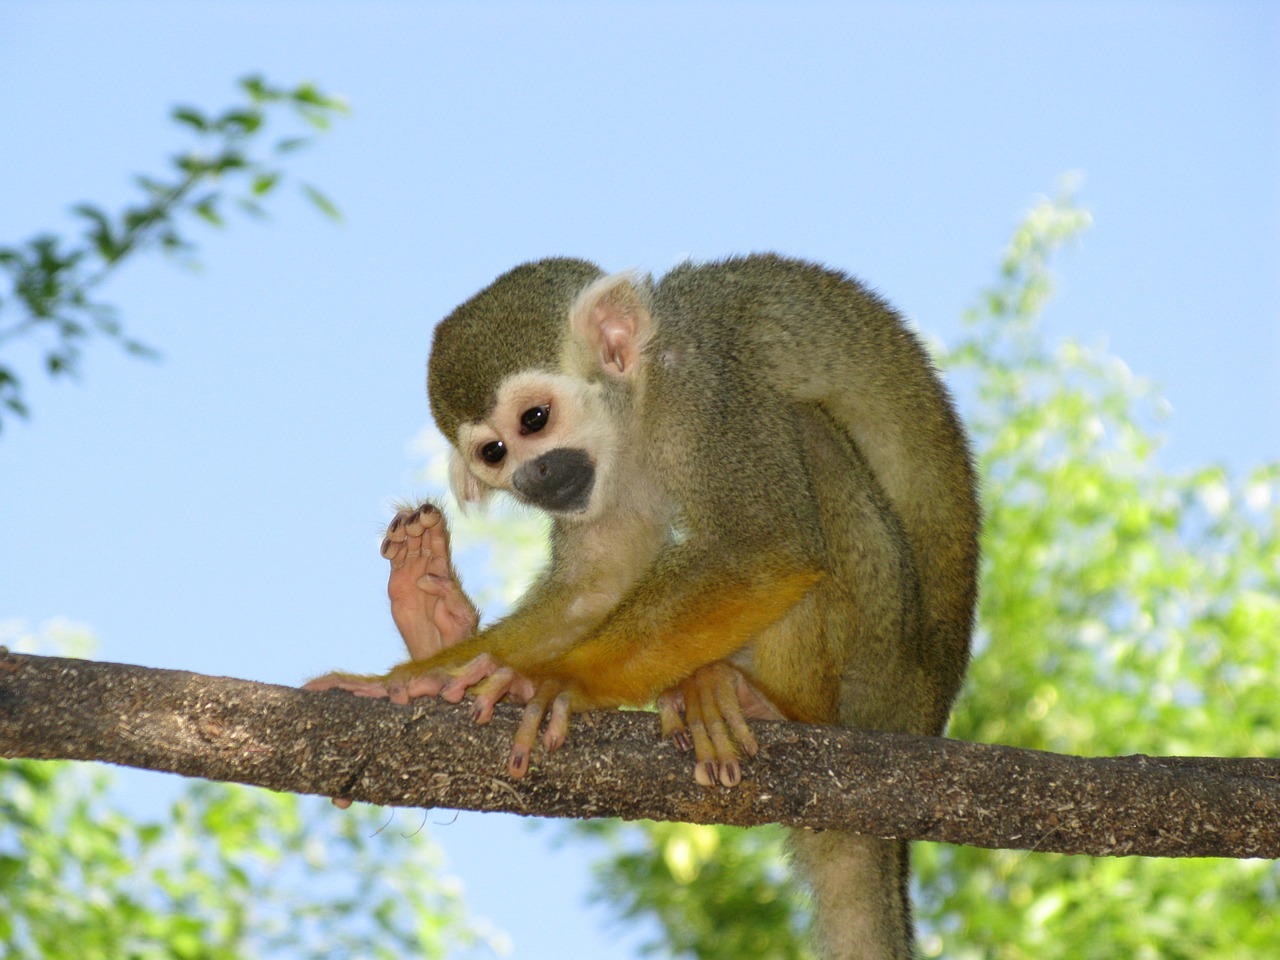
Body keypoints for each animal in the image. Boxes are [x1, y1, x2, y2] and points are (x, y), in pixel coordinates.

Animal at [309, 256, 977, 960]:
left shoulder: (710, 395)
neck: (642, 402)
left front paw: (557, 681)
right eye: (494, 454)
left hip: (883, 664)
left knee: (808, 434)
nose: (533, 479)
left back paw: (781, 707)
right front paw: (412, 681)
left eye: (534, 420)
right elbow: (597, 585)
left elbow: (765, 547)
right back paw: (434, 617)